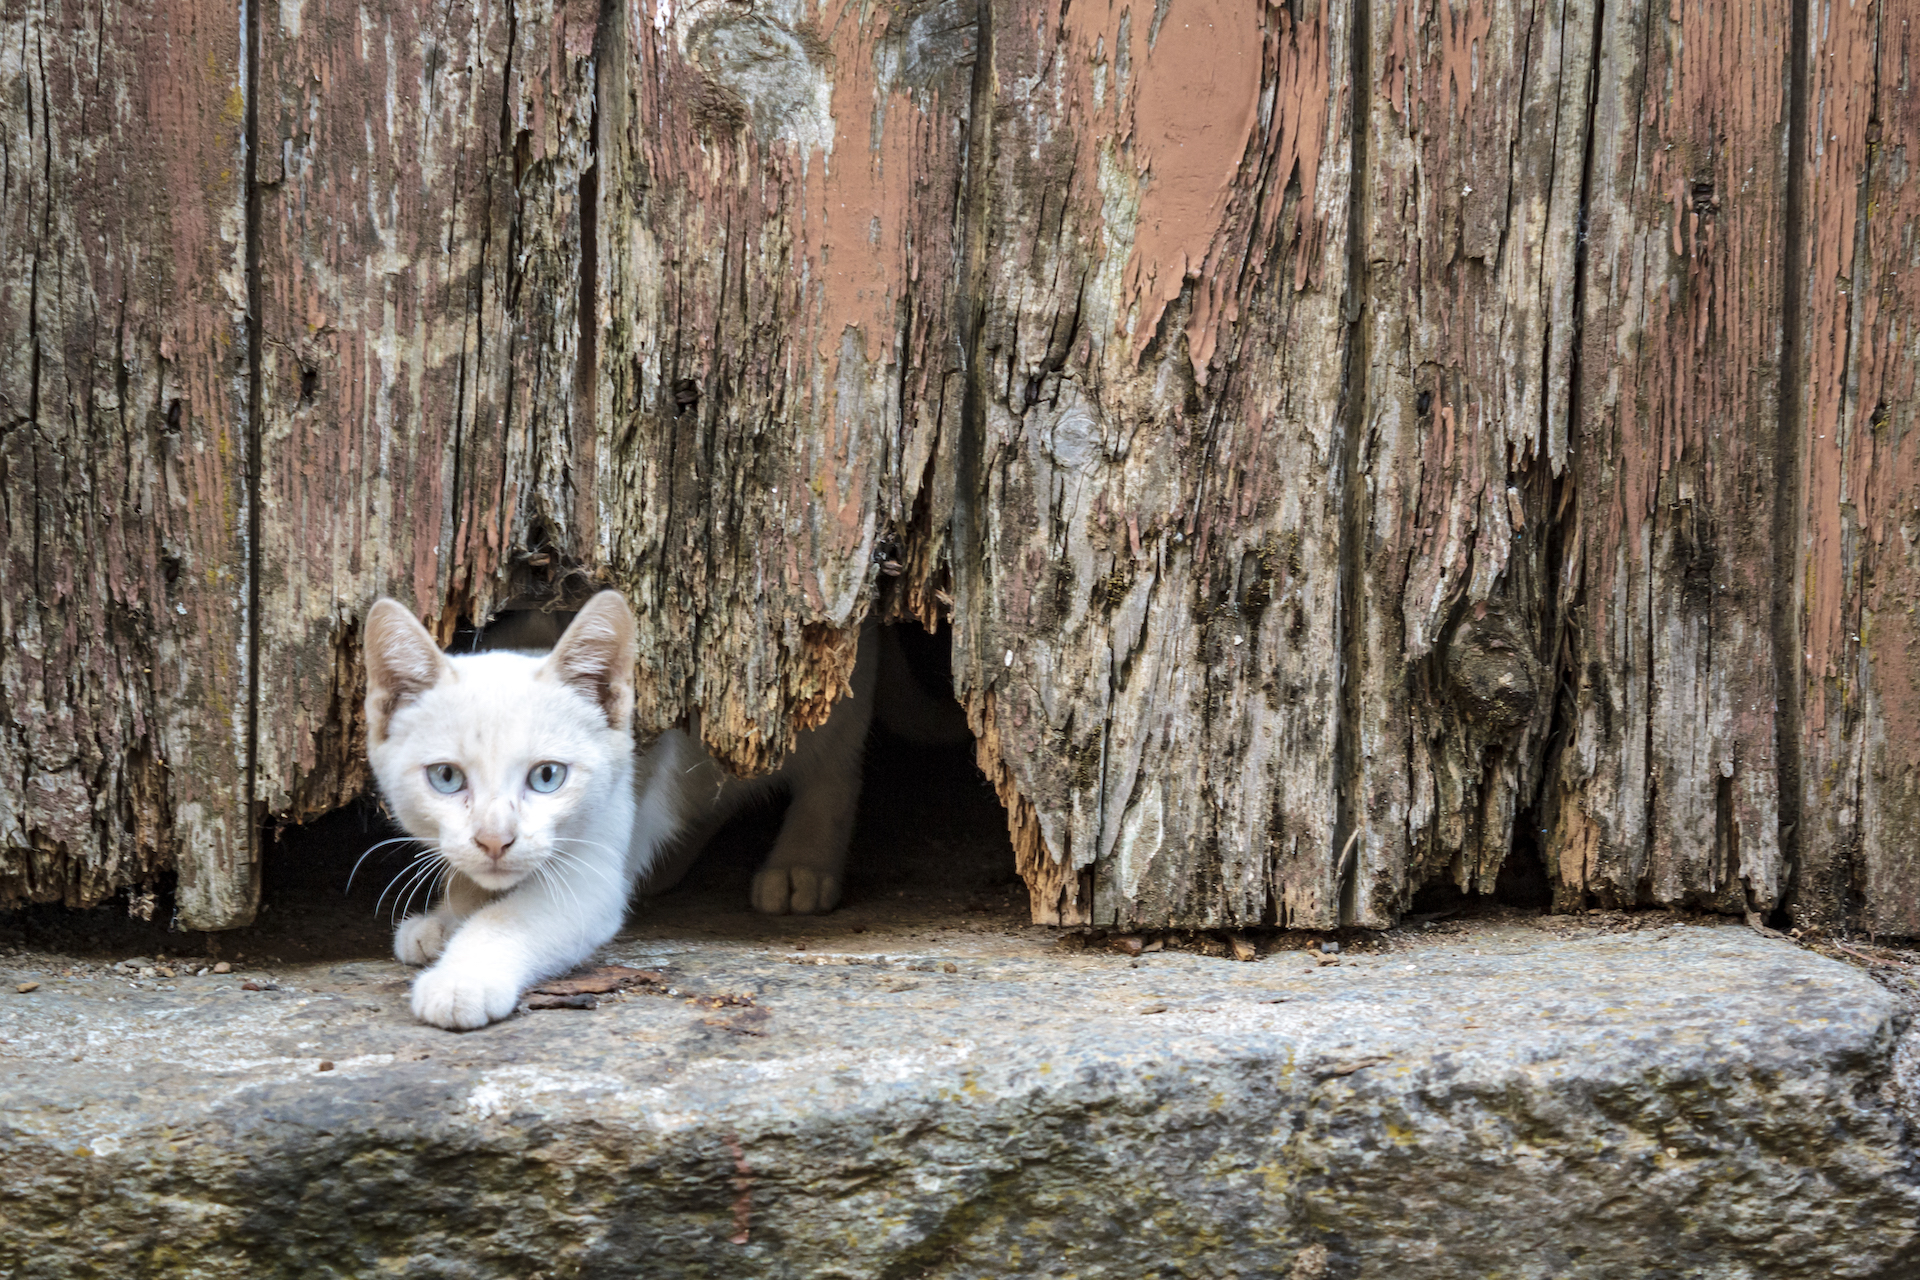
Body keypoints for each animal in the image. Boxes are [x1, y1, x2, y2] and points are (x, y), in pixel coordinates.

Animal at [362, 591, 879, 1028]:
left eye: (546, 776)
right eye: (446, 778)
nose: (494, 839)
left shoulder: (592, 870)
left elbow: (507, 919)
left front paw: (461, 978)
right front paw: (448, 913)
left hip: (829, 712)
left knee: (835, 767)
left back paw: (802, 865)